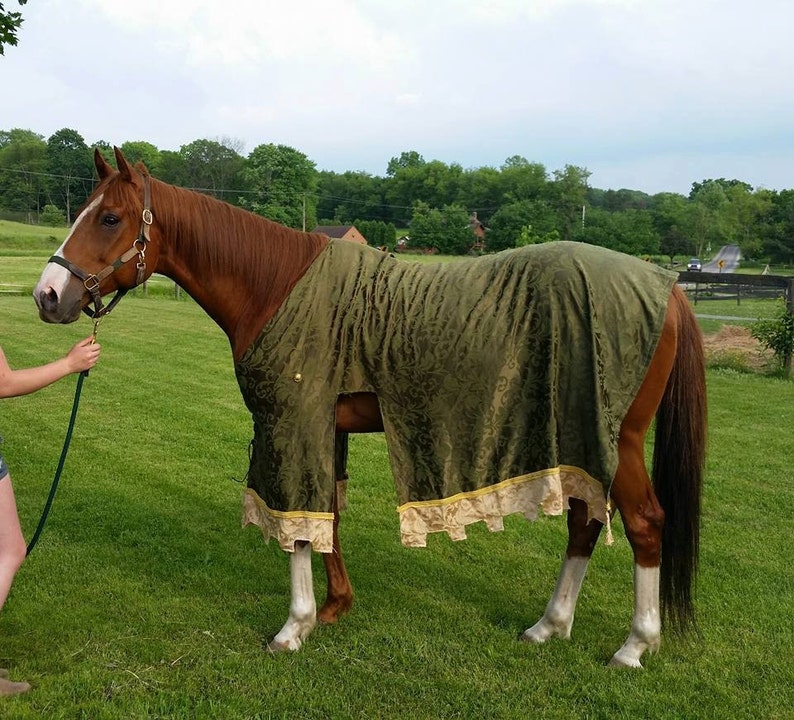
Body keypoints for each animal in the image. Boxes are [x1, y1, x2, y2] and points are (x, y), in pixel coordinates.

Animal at [35, 149, 704, 668]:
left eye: (111, 217)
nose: (48, 295)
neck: (274, 285)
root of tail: (666, 286)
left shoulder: (291, 422)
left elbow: (298, 523)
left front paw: (293, 626)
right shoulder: (322, 427)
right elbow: (325, 514)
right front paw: (333, 608)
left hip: (617, 438)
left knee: (644, 523)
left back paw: (633, 646)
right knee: (585, 522)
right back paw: (550, 626)